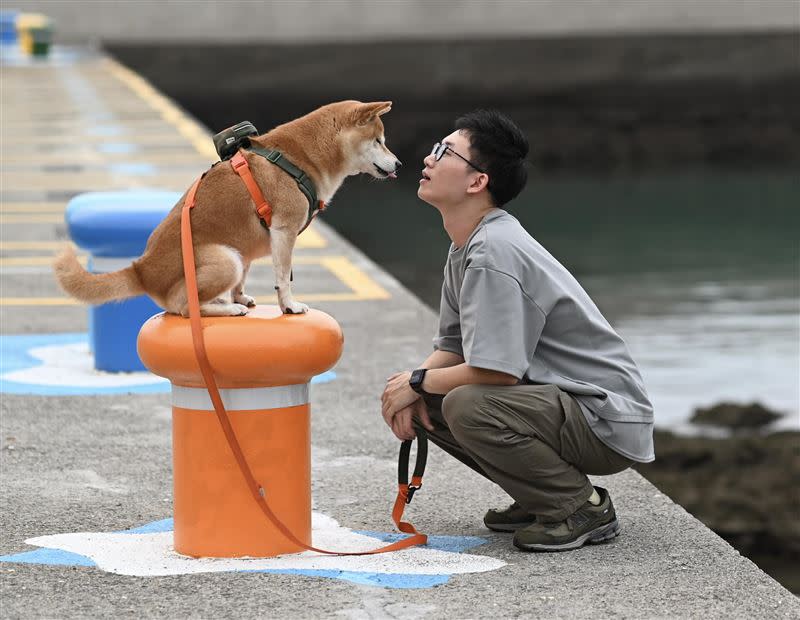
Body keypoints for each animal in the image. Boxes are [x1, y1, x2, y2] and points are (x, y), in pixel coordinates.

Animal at [52, 101, 396, 318]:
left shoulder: (255, 245)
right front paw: (289, 305)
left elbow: (246, 282)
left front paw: (240, 295)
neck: (300, 158)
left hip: (236, 255)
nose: (399, 164)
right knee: (184, 307)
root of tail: (142, 270)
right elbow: (283, 278)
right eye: (379, 140)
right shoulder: (284, 232)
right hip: (225, 259)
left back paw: (229, 302)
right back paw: (229, 309)